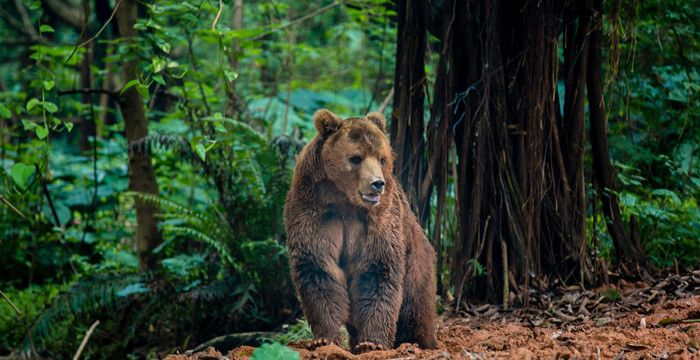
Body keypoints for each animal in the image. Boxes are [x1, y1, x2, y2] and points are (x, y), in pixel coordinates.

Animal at [282, 108, 434, 352]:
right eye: (356, 158)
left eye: (382, 158)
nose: (377, 183)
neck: (344, 200)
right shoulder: (313, 212)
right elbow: (318, 269)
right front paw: (325, 339)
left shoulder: (379, 220)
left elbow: (377, 270)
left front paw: (372, 343)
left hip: (417, 260)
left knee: (415, 306)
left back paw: (417, 341)